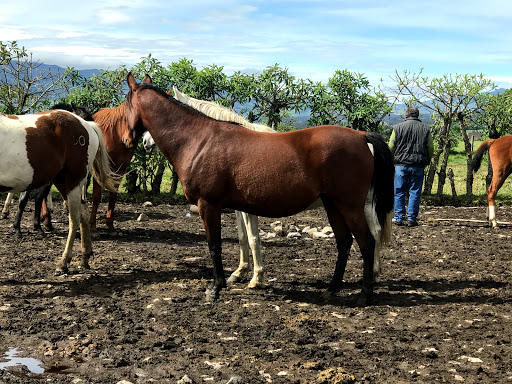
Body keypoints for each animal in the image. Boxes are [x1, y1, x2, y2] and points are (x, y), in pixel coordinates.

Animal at [0, 107, 118, 272]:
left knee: (74, 218)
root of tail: (86, 126)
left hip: (72, 181)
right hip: (62, 182)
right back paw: (85, 257)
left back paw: (64, 262)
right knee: (83, 213)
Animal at [125, 73, 396, 304]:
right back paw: (332, 289)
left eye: (126, 103)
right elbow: (243, 238)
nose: (138, 142)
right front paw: (242, 274)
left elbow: (217, 245)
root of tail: (362, 136)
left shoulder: (208, 206)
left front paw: (217, 287)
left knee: (368, 242)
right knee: (345, 242)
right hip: (333, 206)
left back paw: (365, 293)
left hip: (351, 206)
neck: (200, 140)